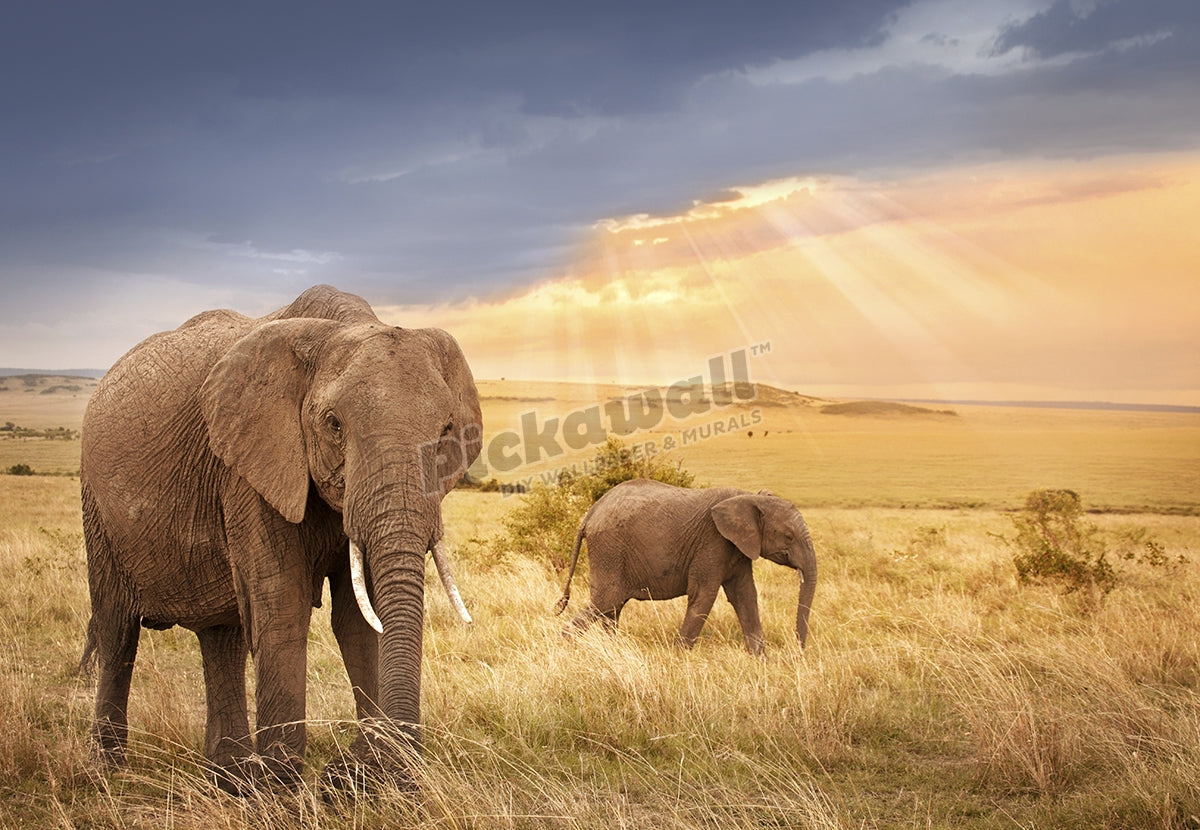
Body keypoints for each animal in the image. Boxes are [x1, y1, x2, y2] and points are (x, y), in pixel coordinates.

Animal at [78, 285, 482, 793]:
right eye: (333, 424)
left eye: (446, 431)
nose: (357, 769)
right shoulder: (249, 465)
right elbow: (282, 602)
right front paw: (284, 786)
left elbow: (359, 618)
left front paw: (361, 779)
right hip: (96, 504)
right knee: (117, 629)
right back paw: (107, 774)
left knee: (221, 635)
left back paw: (228, 778)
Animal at [554, 479, 817, 655]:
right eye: (788, 536)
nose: (799, 652)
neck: (749, 497)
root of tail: (589, 514)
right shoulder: (712, 542)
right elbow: (704, 595)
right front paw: (680, 658)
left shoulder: (737, 548)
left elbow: (745, 596)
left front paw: (760, 660)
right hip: (609, 549)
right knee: (607, 601)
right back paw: (567, 644)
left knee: (611, 607)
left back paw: (614, 650)